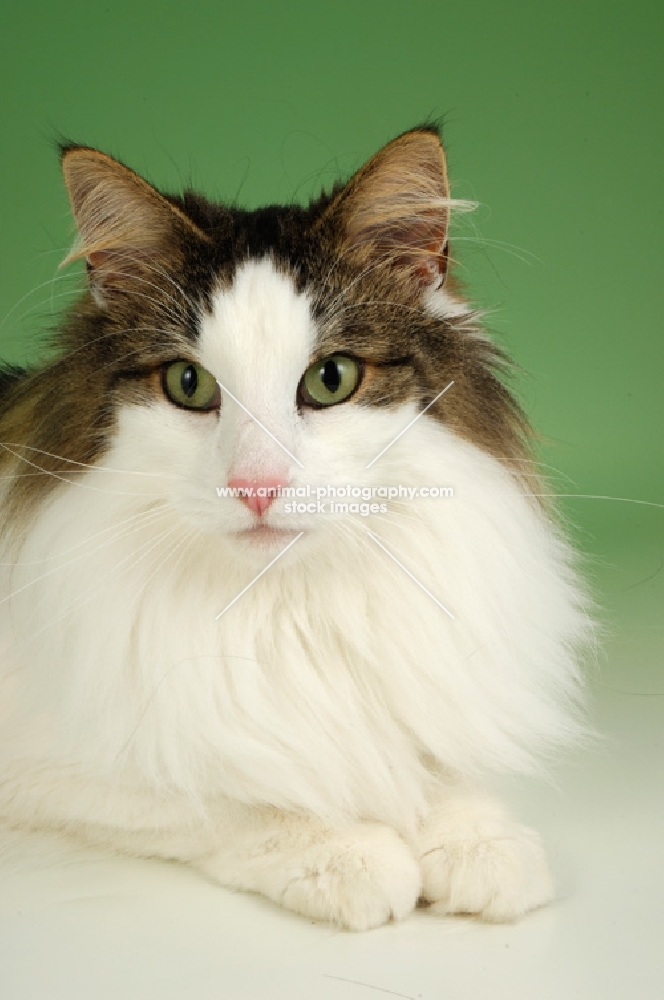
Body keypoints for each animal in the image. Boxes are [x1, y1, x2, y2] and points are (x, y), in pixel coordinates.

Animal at [0, 125, 592, 928]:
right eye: (189, 385)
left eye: (330, 379)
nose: (257, 487)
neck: (287, 607)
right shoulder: (56, 763)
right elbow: (223, 791)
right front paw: (345, 852)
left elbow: (427, 763)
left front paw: (478, 840)